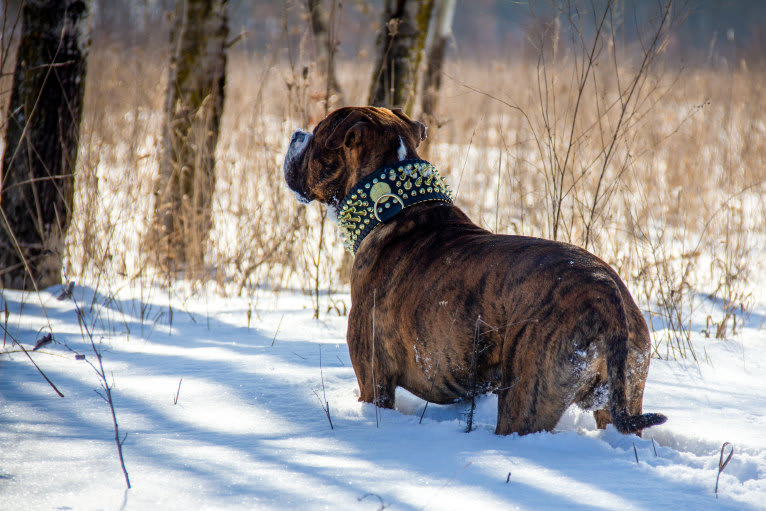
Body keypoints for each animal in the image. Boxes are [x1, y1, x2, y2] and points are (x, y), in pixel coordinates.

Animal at [284, 107, 668, 436]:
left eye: (318, 132)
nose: (296, 134)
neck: (396, 207)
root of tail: (607, 294)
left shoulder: (374, 383)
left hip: (526, 399)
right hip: (625, 388)